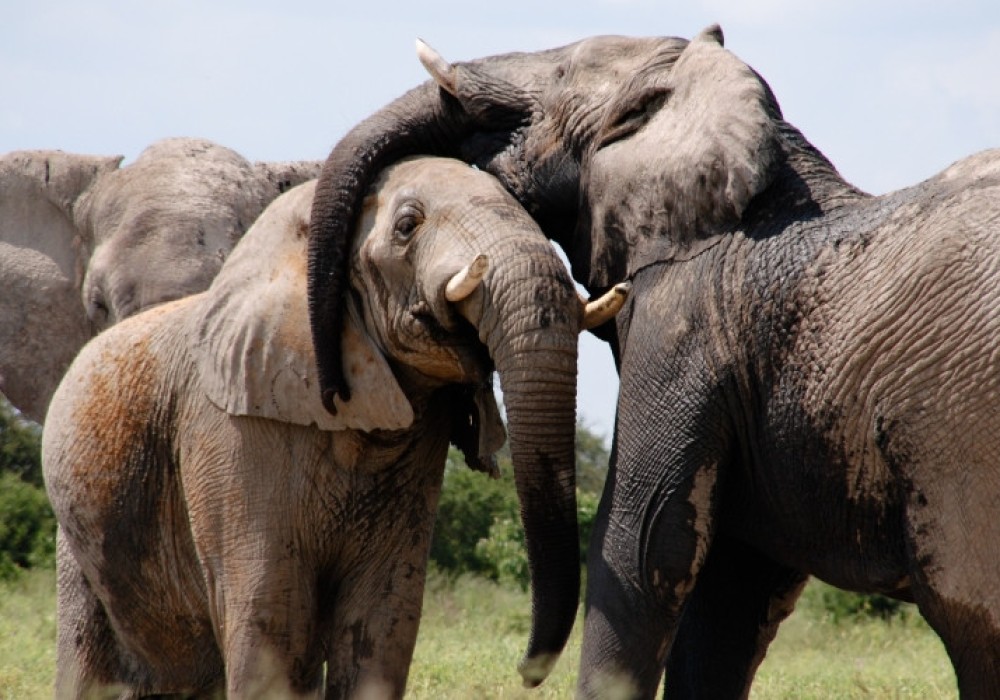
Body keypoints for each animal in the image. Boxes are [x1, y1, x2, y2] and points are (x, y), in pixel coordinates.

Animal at [47, 160, 628, 700]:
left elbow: (382, 623)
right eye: (407, 226)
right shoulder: (230, 433)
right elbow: (269, 620)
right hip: (77, 538)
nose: (526, 673)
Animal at [302, 24, 1000, 696]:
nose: (333, 391)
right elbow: (727, 596)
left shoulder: (681, 320)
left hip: (957, 441)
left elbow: (641, 544)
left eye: (560, 74)